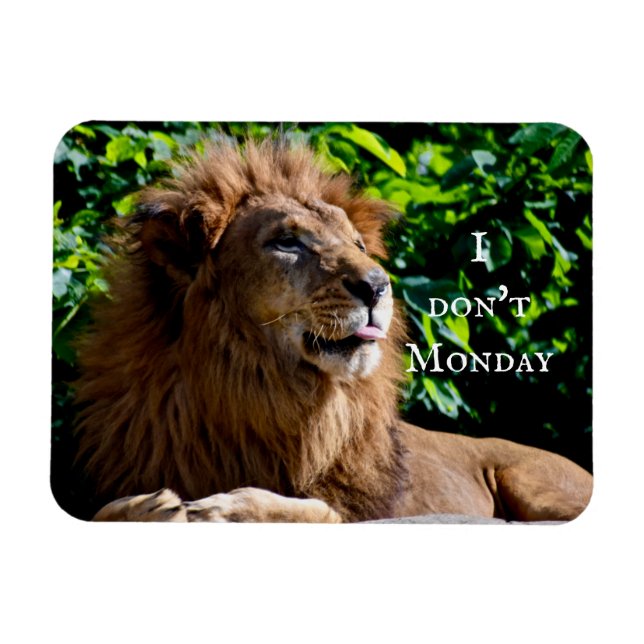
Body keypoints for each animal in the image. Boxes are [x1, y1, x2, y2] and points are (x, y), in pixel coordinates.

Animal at [72, 137, 592, 523]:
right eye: (287, 242)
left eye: (358, 245)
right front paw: (147, 506)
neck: (254, 389)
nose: (378, 285)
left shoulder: (357, 509)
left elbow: (304, 509)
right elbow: (102, 511)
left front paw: (218, 508)